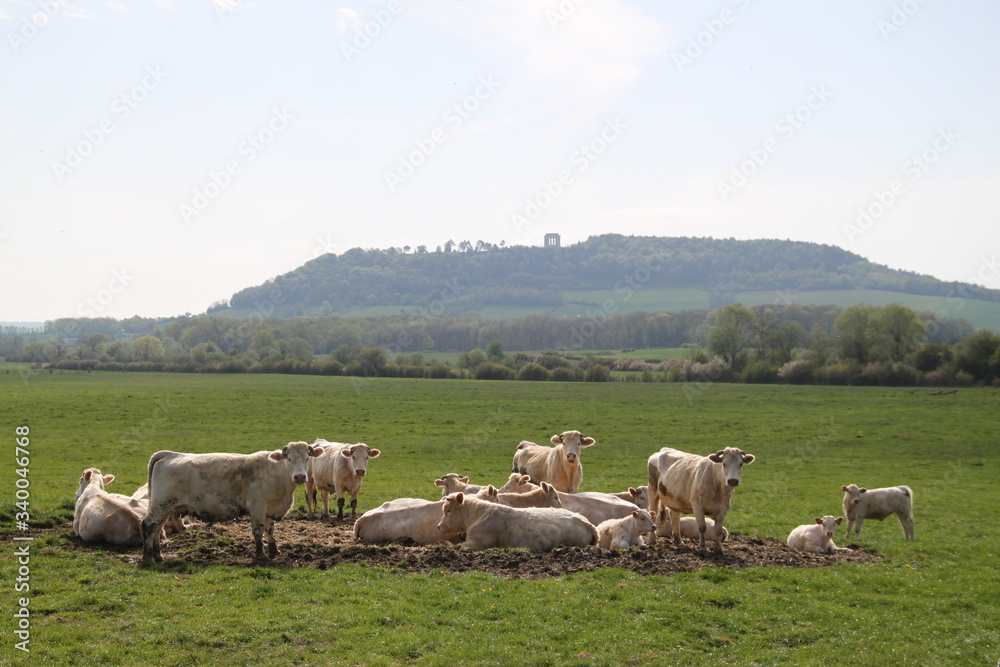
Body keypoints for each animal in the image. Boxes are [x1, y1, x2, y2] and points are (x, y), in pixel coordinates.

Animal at [143, 444, 322, 564]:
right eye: (289, 459)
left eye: (307, 458)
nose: (300, 476)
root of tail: (169, 454)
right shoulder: (257, 507)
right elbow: (258, 531)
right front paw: (261, 555)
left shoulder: (270, 509)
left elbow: (270, 530)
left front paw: (274, 550)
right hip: (161, 504)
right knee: (149, 525)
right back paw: (147, 558)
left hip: (165, 508)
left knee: (158, 528)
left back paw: (158, 556)